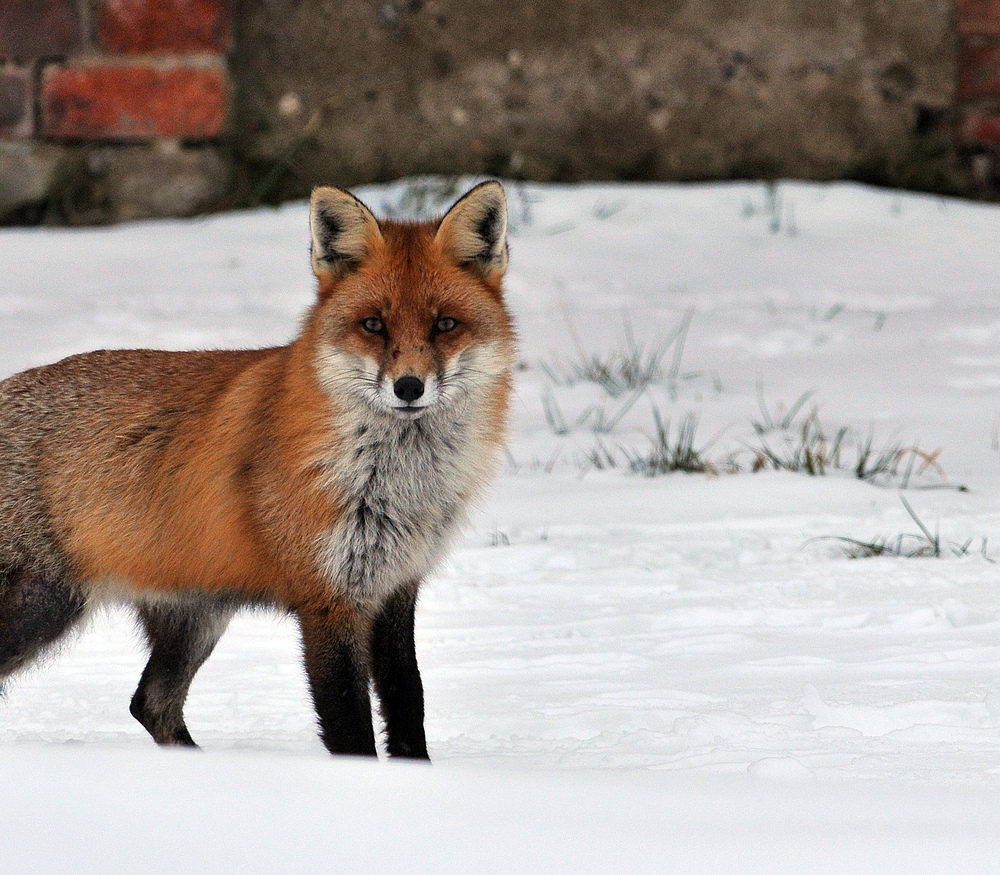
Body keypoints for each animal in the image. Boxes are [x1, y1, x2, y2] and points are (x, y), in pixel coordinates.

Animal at [0, 181, 516, 756]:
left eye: (445, 325)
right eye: (373, 326)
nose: (409, 387)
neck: (398, 484)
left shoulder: (395, 588)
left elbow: (409, 710)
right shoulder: (326, 600)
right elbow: (351, 728)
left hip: (195, 615)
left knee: (150, 703)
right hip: (45, 604)